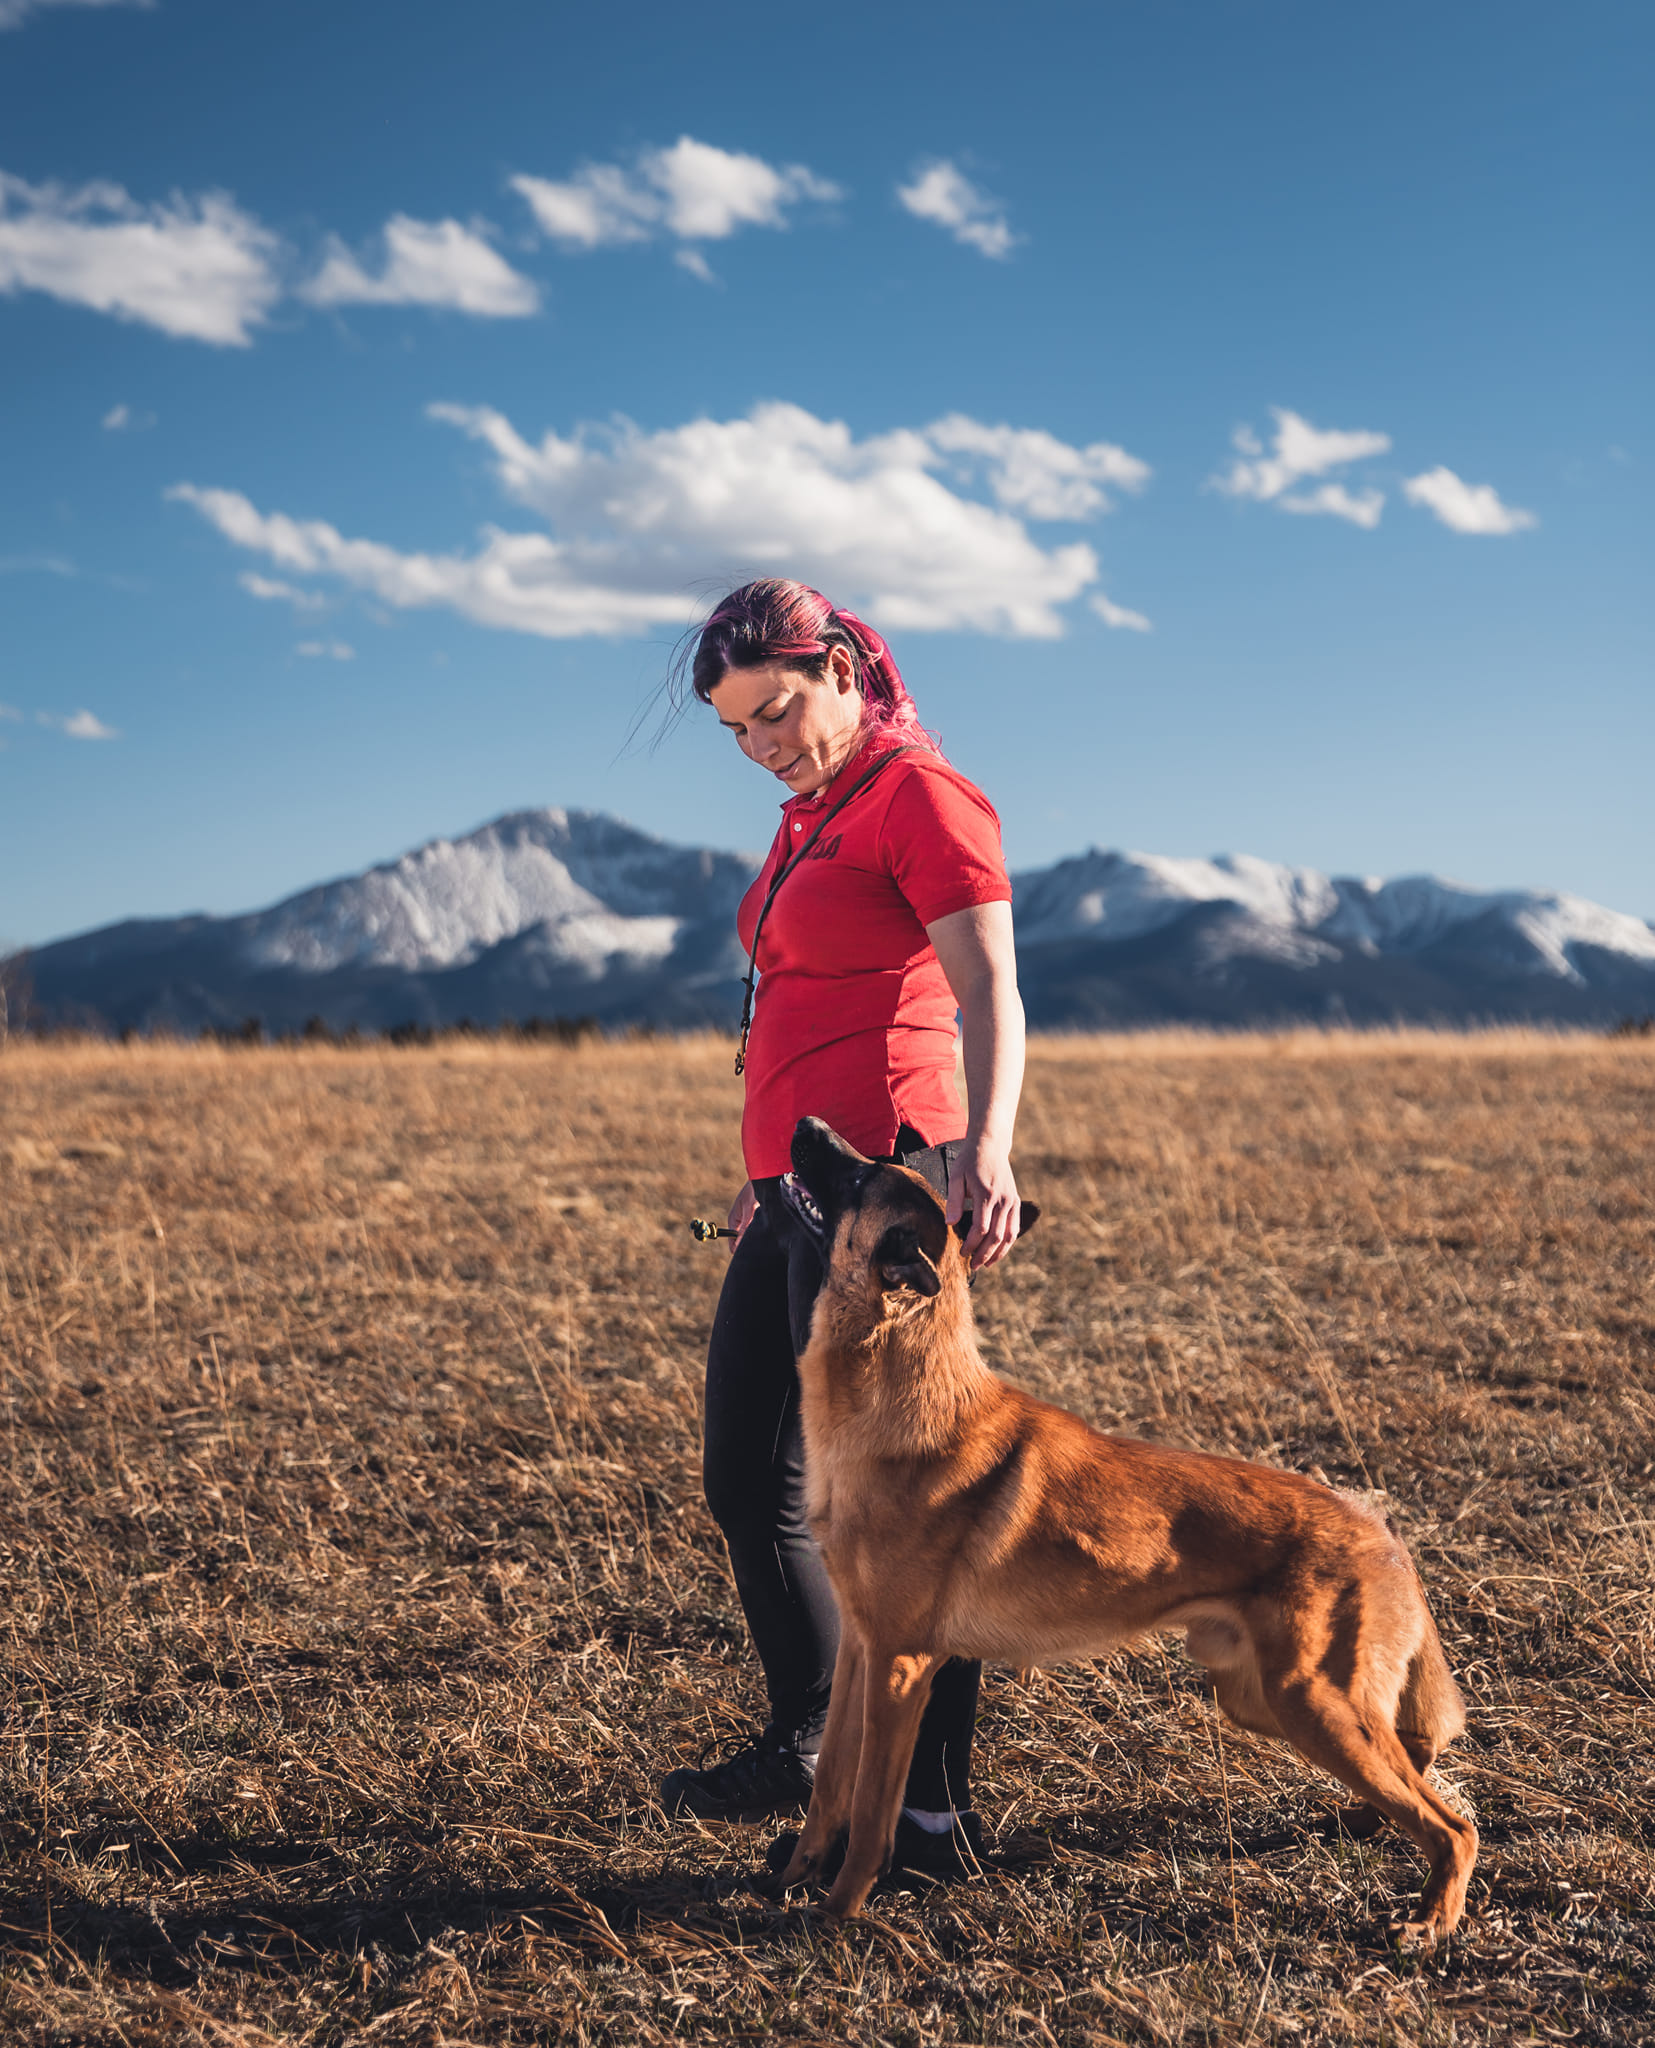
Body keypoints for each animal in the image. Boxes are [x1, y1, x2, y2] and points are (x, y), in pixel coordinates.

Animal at [774, 1122, 1474, 1933]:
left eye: (860, 1179)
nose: (805, 1127)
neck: (900, 1394)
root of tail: (1378, 1529)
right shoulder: (860, 1649)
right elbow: (829, 1789)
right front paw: (789, 1880)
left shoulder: (901, 1665)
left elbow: (868, 1812)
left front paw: (835, 1914)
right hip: (1261, 1698)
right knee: (1413, 1763)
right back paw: (1368, 1830)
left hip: (1312, 1706)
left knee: (1453, 1824)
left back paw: (1431, 1919)